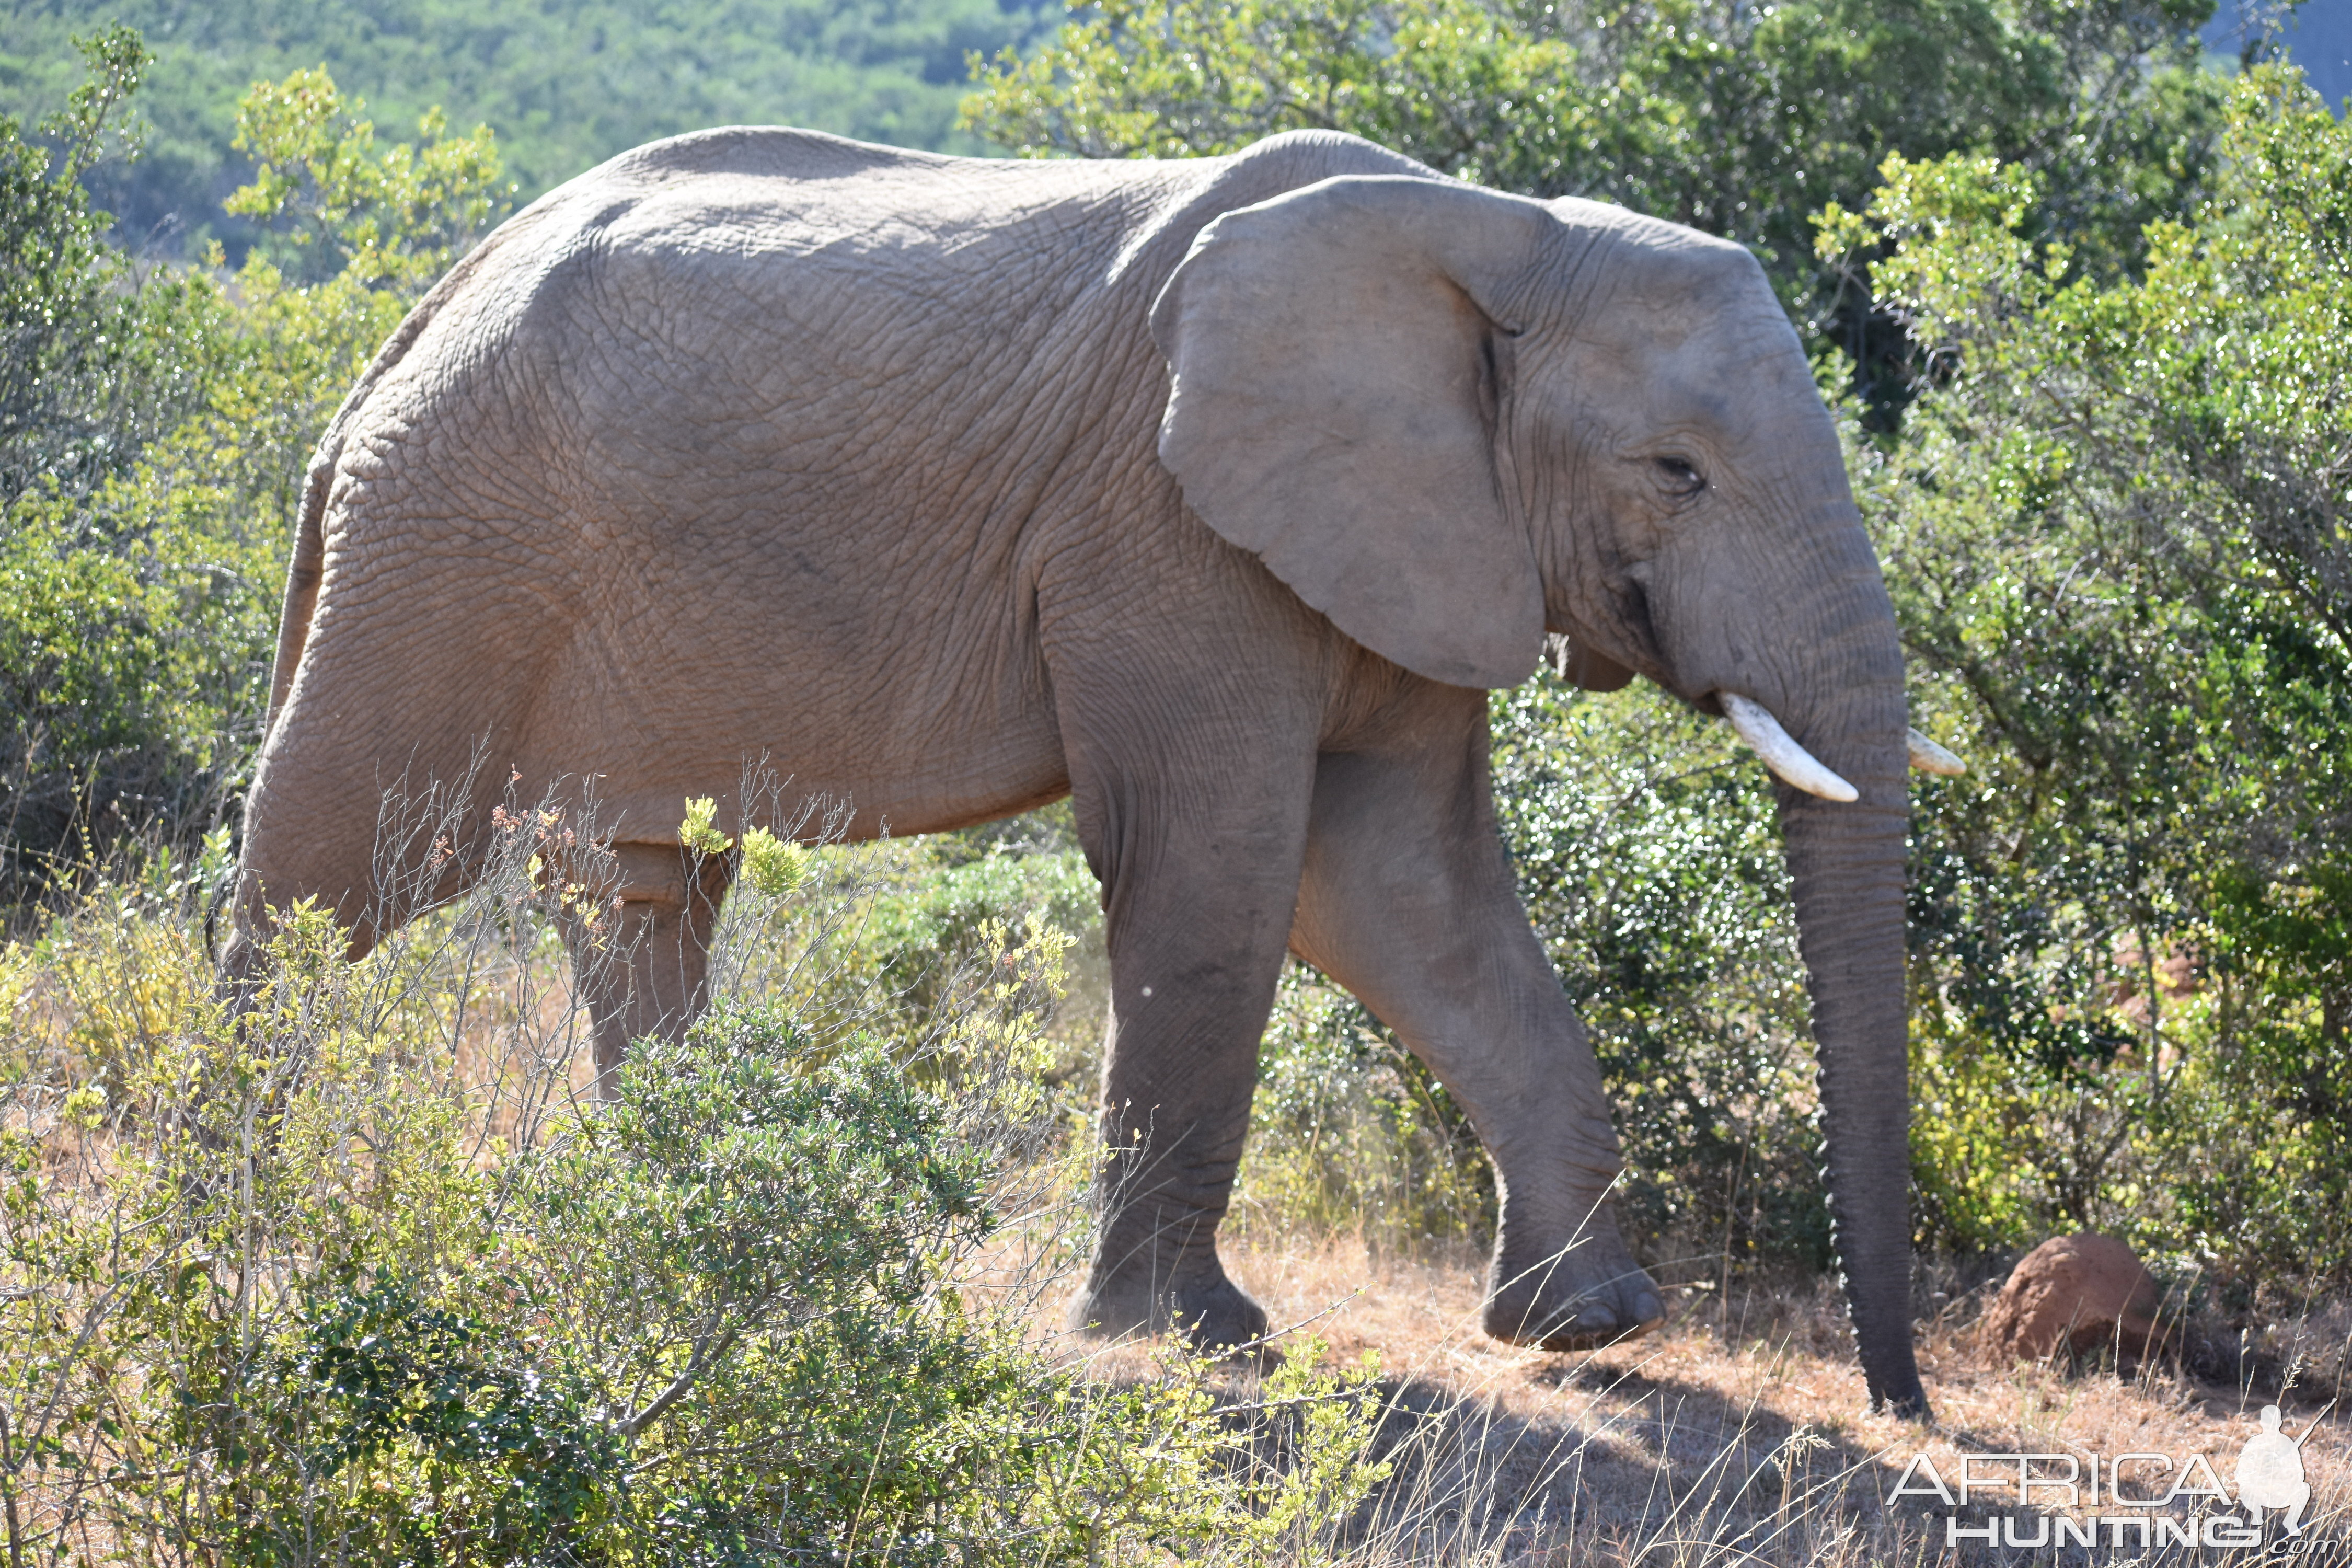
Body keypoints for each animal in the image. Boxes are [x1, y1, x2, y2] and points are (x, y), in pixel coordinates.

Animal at [229, 123, 1947, 1420]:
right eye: (1677, 472)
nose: (1905, 1403)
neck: (1499, 235)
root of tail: (410, 322)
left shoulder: (1405, 539)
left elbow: (1405, 893)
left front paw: (1586, 1326)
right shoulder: (1167, 530)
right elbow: (1220, 866)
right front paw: (1192, 1342)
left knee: (636, 893)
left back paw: (676, 1221)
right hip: (447, 544)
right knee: (330, 868)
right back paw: (223, 1198)